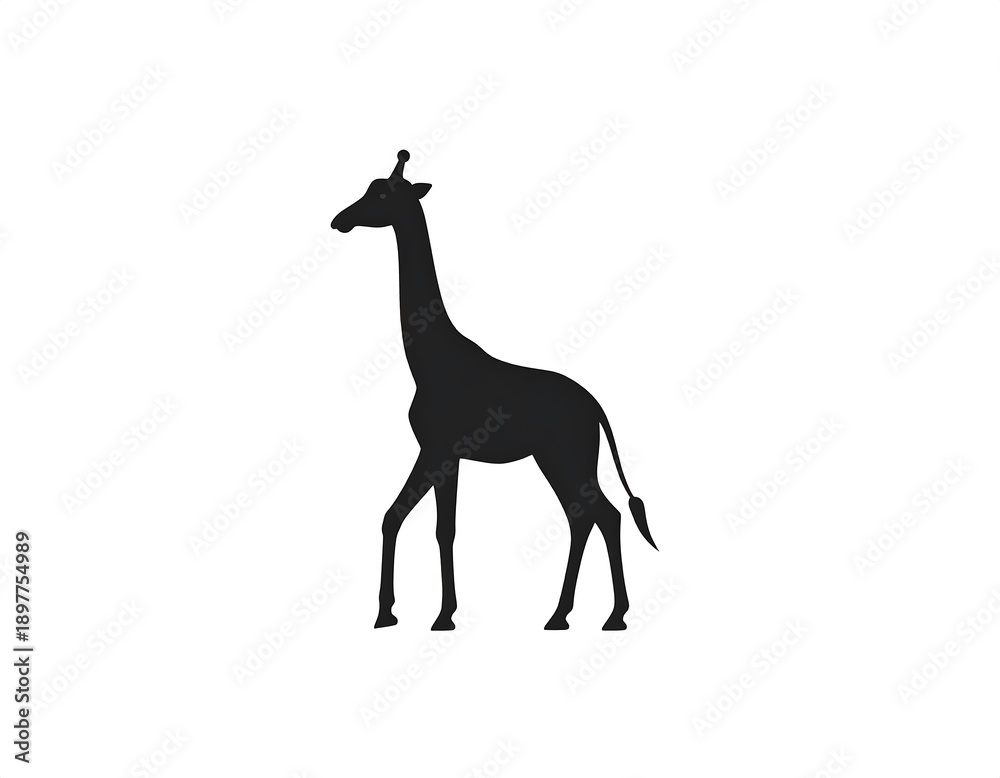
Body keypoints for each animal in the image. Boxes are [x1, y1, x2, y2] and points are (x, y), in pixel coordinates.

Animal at [331, 151, 656, 631]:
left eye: (383, 194)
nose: (340, 220)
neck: (428, 362)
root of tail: (595, 406)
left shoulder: (438, 450)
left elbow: (434, 527)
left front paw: (439, 615)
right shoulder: (442, 455)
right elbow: (407, 520)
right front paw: (394, 613)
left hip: (566, 456)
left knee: (604, 514)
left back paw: (612, 616)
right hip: (556, 458)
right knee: (586, 516)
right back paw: (560, 615)